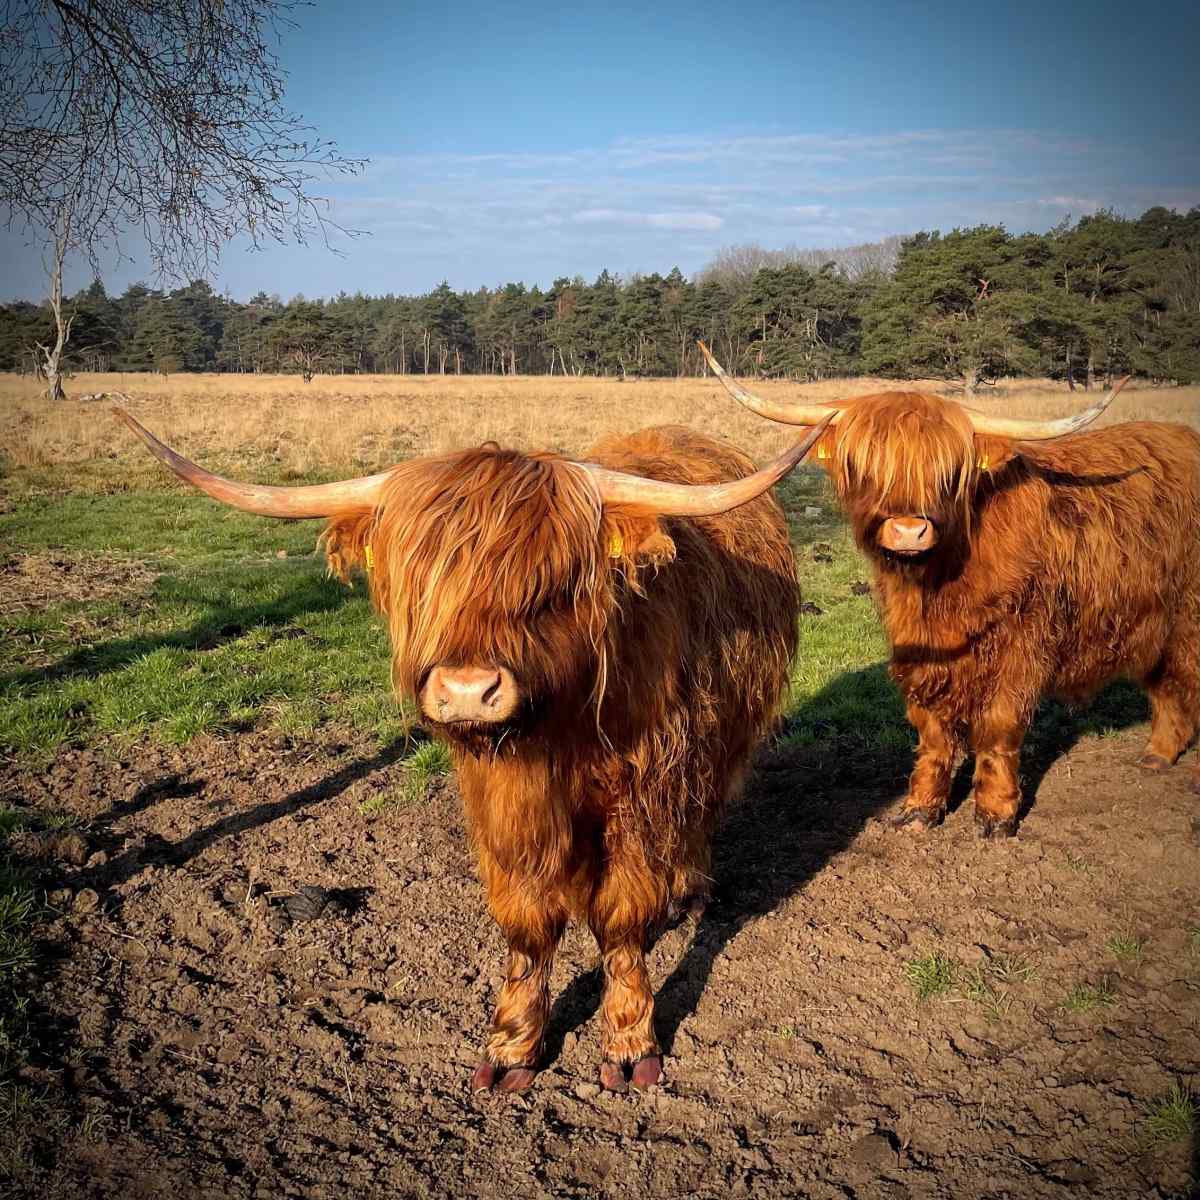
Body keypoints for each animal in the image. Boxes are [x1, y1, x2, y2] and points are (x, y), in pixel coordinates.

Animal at [119, 415, 835, 1099]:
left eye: (550, 587)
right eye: (424, 586)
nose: (468, 690)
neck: (560, 731)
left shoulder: (647, 791)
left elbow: (622, 918)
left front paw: (630, 1043)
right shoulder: (504, 800)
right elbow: (527, 922)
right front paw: (512, 1044)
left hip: (718, 748)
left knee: (701, 819)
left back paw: (689, 891)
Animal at [700, 343, 1195, 840]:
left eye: (947, 471)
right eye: (866, 466)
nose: (908, 530)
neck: (938, 586)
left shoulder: (1022, 646)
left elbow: (999, 727)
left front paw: (996, 814)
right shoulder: (919, 647)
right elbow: (932, 730)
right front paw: (921, 808)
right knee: (1165, 684)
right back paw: (1157, 756)